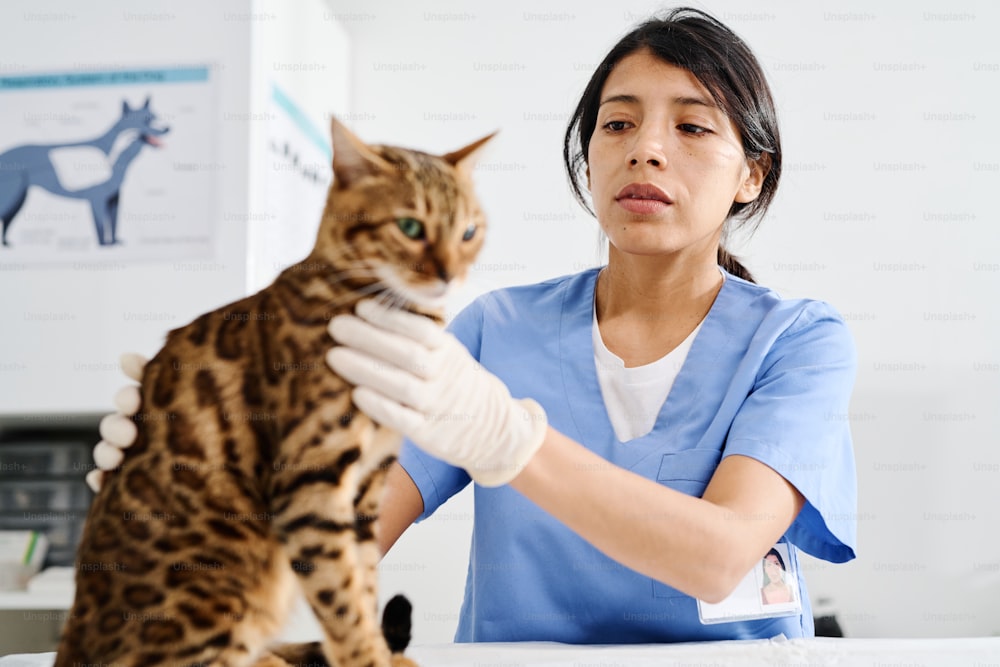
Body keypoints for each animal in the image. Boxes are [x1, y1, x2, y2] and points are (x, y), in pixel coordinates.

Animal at [53, 118, 492, 667]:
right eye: (410, 227)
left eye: (469, 232)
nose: (451, 274)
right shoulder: (310, 484)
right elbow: (342, 598)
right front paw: (367, 657)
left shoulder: (367, 488)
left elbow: (363, 586)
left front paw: (379, 651)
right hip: (218, 589)